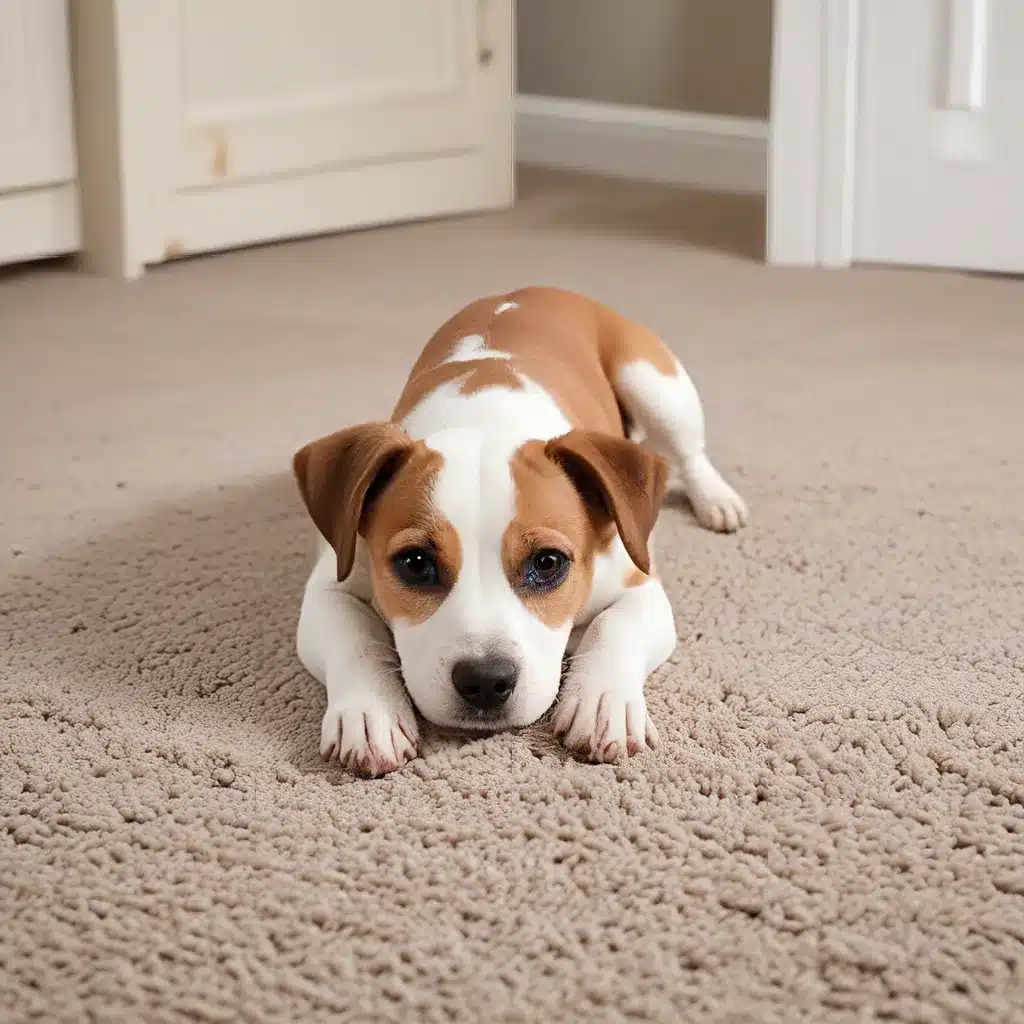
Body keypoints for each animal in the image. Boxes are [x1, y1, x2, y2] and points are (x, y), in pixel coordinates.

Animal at [292, 288, 749, 774]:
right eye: (415, 564)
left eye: (548, 562)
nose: (485, 681)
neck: (484, 420)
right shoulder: (330, 587)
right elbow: (357, 638)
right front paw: (369, 712)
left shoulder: (639, 584)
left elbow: (615, 627)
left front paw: (603, 703)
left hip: (655, 388)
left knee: (690, 453)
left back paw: (716, 500)